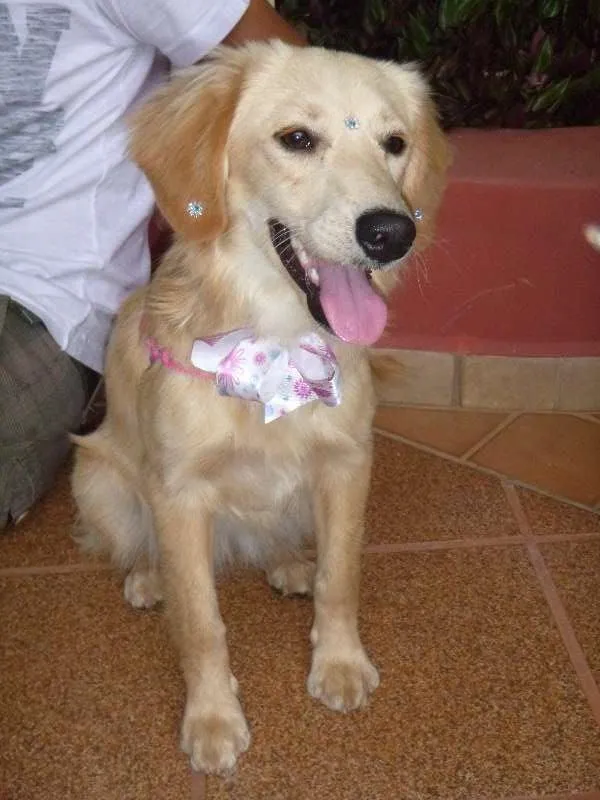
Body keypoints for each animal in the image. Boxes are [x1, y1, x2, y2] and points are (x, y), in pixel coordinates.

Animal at [71, 41, 449, 776]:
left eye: (395, 144)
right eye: (296, 139)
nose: (391, 233)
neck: (277, 342)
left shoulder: (347, 465)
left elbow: (341, 577)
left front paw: (339, 663)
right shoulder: (179, 495)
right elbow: (201, 624)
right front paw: (214, 720)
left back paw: (286, 563)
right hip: (97, 480)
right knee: (138, 549)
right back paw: (148, 579)